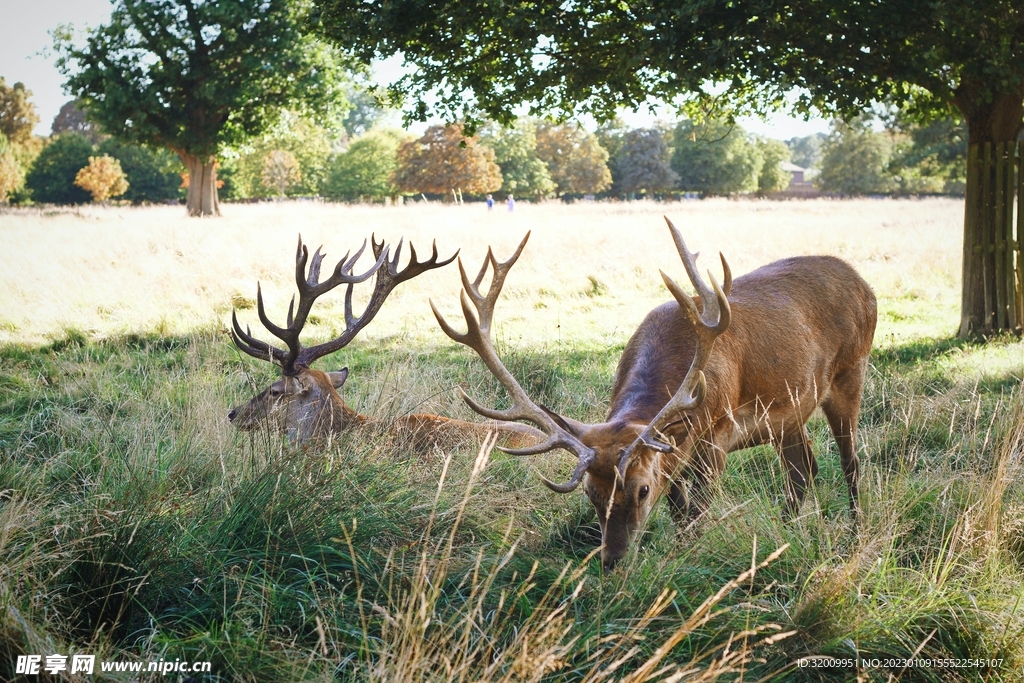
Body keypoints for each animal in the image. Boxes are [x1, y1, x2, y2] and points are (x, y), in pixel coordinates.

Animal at [432, 218, 877, 571]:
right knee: (804, 468)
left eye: (642, 489)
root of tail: (863, 283)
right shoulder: (674, 452)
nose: (612, 561)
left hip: (851, 372)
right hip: (790, 412)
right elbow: (680, 510)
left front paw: (683, 558)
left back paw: (856, 534)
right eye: (592, 493)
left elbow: (697, 513)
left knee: (850, 462)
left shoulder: (717, 432)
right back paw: (786, 534)